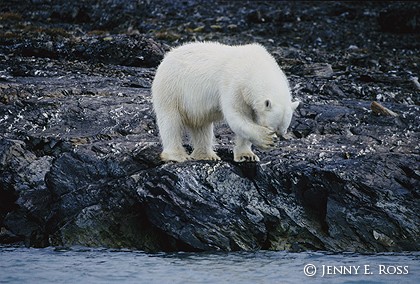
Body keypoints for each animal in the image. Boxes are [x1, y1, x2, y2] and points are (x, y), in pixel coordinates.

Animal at [153, 41, 300, 163]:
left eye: (281, 132)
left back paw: (207, 155)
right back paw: (177, 155)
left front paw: (247, 156)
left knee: (202, 126)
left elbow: (248, 120)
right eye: (271, 129)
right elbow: (236, 115)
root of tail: (168, 56)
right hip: (172, 88)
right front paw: (265, 139)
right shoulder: (234, 84)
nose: (276, 138)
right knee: (170, 121)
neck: (254, 67)